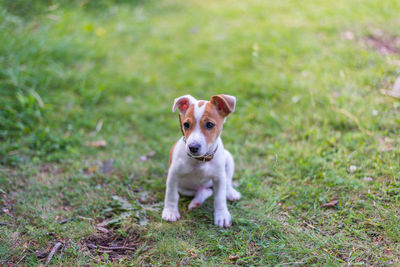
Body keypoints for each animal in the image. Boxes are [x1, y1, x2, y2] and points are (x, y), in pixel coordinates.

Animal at [162, 94, 241, 228]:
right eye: (186, 124)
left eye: (209, 124)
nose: (193, 147)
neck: (201, 160)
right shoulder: (173, 175)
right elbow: (171, 194)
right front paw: (170, 212)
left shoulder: (219, 177)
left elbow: (220, 198)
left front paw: (222, 215)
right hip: (185, 188)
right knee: (205, 191)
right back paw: (196, 202)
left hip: (229, 158)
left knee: (226, 182)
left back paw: (231, 193)